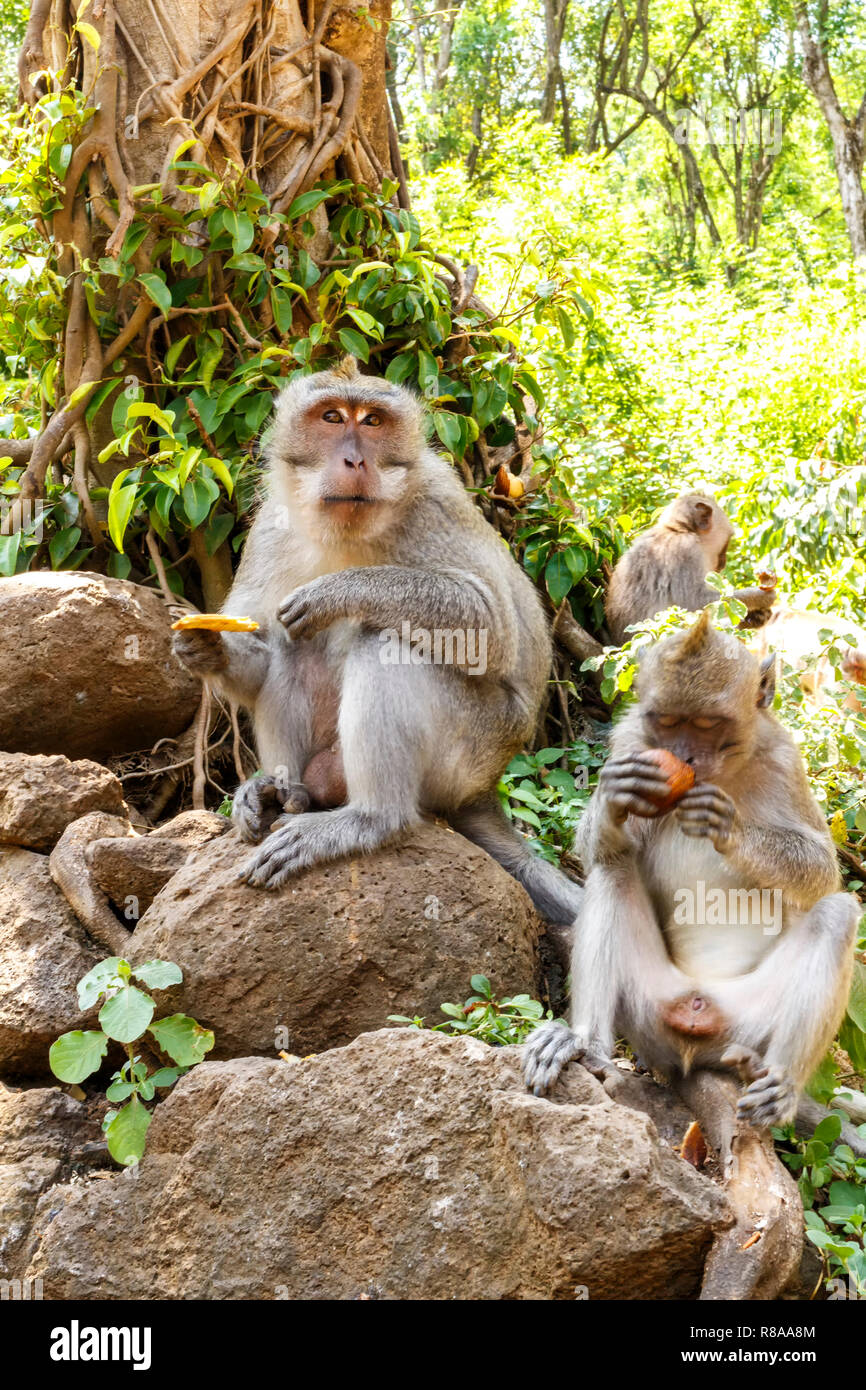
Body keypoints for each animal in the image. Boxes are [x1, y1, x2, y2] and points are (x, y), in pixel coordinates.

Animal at [171, 364, 583, 917]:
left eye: (372, 421)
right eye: (331, 417)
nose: (355, 459)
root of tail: (485, 788)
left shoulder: (437, 502)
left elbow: (491, 629)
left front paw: (339, 591)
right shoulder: (271, 525)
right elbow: (263, 650)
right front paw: (204, 647)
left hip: (473, 748)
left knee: (384, 641)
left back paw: (370, 820)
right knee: (293, 648)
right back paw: (282, 793)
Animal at [522, 617, 861, 1128]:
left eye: (707, 723)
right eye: (667, 721)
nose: (683, 754)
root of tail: (696, 1012)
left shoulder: (786, 759)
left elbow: (821, 870)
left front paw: (730, 829)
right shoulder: (629, 743)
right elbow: (602, 849)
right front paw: (616, 797)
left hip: (745, 1023)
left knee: (838, 914)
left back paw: (779, 1086)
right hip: (649, 1013)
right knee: (612, 870)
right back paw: (585, 1044)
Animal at [603, 494, 778, 644]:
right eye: (726, 543)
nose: (724, 561)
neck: (677, 530)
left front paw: (753, 617)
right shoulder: (687, 550)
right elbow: (693, 604)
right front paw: (759, 597)